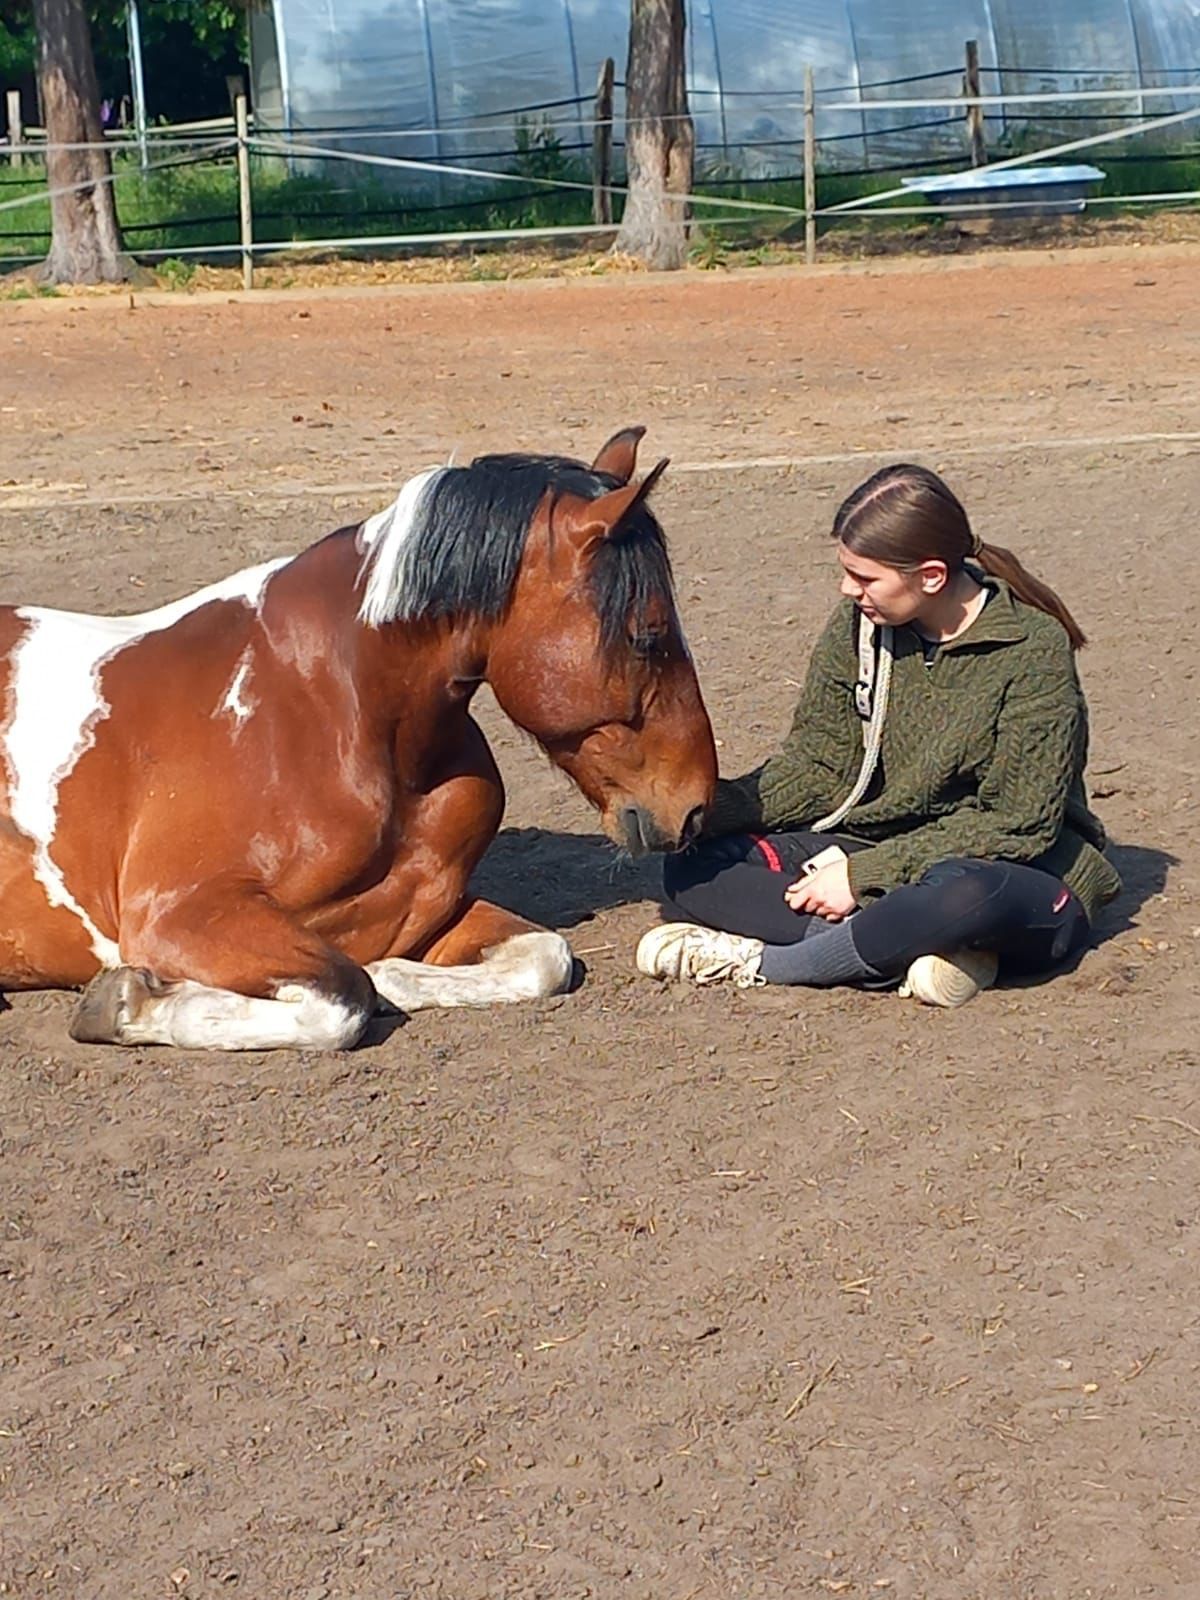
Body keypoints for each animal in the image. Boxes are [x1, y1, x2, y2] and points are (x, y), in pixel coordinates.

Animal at [0, 427, 717, 1051]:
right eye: (647, 635)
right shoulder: (180, 918)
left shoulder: (427, 912)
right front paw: (122, 1003)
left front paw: (397, 979)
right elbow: (340, 999)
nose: (694, 807)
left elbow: (542, 956)